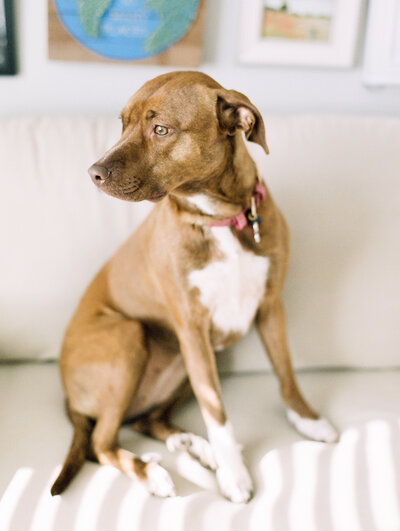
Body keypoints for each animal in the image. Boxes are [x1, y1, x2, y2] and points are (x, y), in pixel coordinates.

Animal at [50, 70, 338, 502]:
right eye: (122, 125)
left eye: (161, 130)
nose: (93, 173)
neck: (219, 218)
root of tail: (68, 397)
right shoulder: (192, 327)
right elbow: (216, 410)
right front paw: (235, 475)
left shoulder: (270, 307)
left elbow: (286, 373)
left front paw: (307, 420)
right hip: (130, 336)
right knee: (101, 444)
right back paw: (151, 472)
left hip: (188, 360)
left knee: (146, 421)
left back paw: (192, 445)